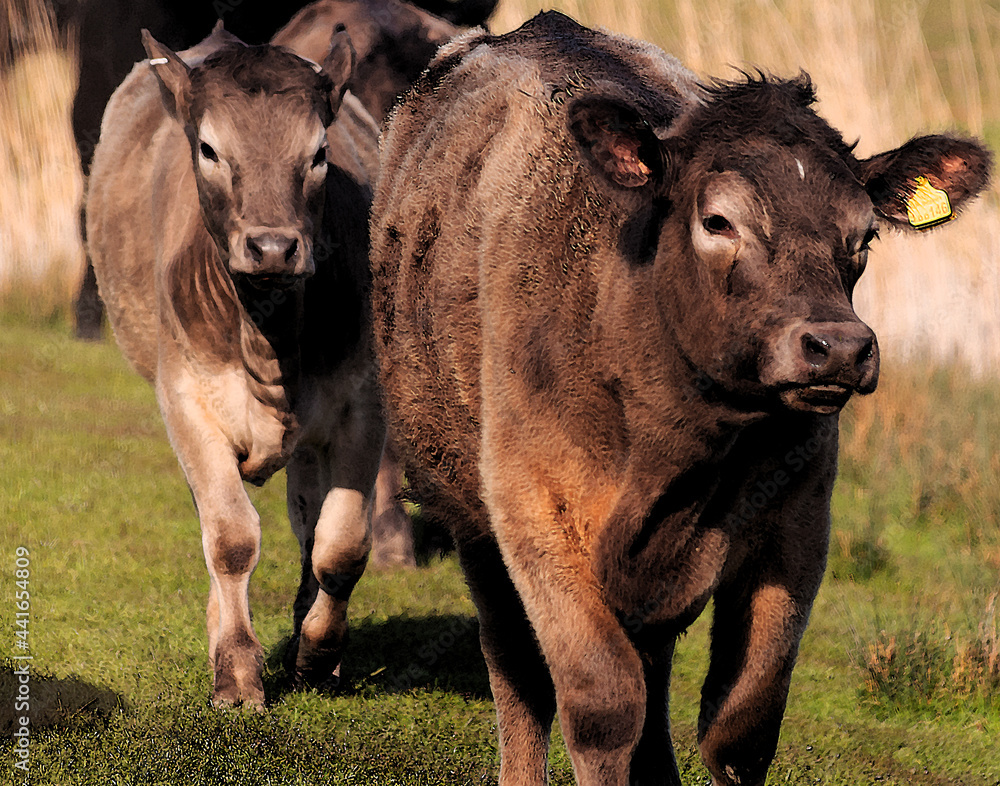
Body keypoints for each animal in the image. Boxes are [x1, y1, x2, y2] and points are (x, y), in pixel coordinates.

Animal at [86, 23, 384, 708]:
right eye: (208, 148)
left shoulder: (363, 403)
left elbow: (341, 545)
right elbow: (229, 537)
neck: (268, 335)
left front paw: (316, 654)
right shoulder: (185, 401)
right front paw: (238, 670)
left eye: (320, 152)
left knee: (308, 520)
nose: (273, 246)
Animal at [370, 11, 991, 785]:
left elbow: (741, 725)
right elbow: (602, 705)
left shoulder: (799, 525)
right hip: (468, 512)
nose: (840, 347)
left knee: (653, 663)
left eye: (864, 235)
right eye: (718, 222)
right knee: (515, 667)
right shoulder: (535, 510)